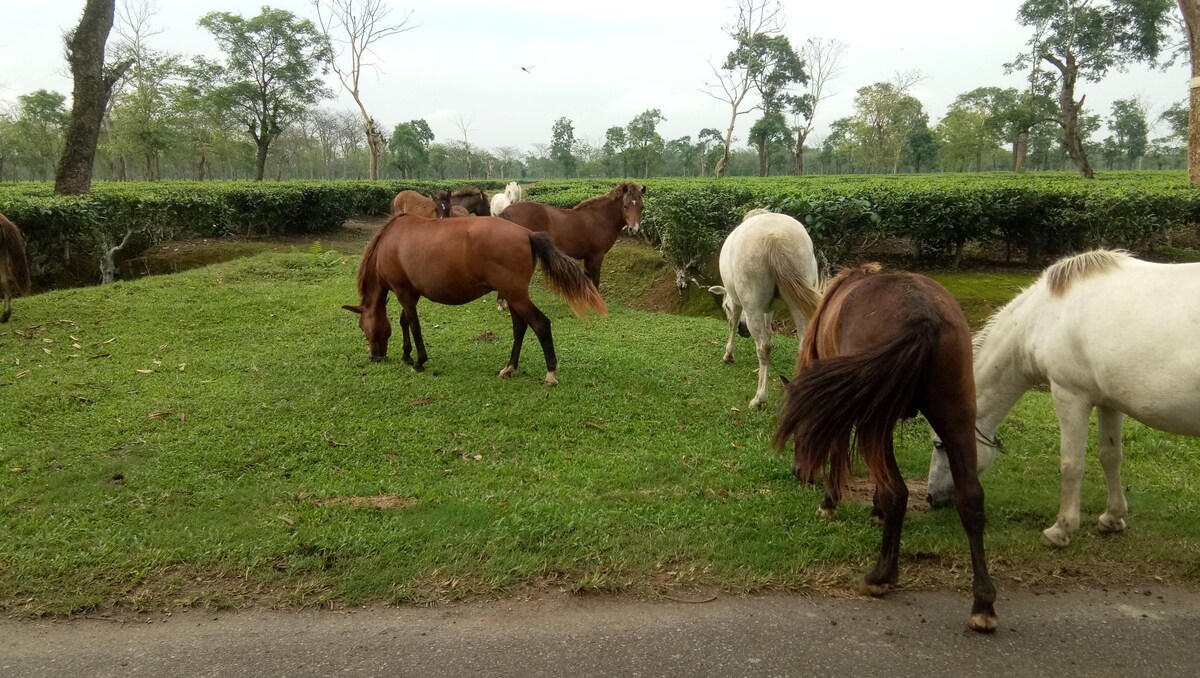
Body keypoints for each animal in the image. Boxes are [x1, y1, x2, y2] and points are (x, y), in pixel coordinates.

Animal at [345, 211, 609, 386]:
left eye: (362, 327)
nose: (375, 357)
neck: (389, 241)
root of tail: (527, 234)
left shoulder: (403, 292)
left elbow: (414, 325)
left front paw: (418, 361)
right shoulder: (412, 292)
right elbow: (404, 322)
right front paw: (406, 356)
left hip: (516, 295)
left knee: (540, 324)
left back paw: (550, 374)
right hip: (513, 296)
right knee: (520, 327)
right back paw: (509, 368)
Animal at [496, 181, 648, 284]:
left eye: (641, 206)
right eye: (625, 206)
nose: (633, 229)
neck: (600, 218)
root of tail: (506, 211)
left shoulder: (588, 257)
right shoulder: (597, 256)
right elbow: (595, 280)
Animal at [705, 206, 820, 408]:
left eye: (725, 306)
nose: (744, 331)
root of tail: (775, 236)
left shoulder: (738, 303)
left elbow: (732, 324)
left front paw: (728, 355)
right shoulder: (769, 309)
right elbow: (769, 329)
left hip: (753, 305)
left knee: (763, 347)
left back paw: (759, 398)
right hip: (797, 302)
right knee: (802, 342)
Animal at [772, 262, 998, 628]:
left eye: (797, 429)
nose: (799, 472)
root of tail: (923, 315)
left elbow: (839, 451)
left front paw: (830, 502)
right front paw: (875, 511)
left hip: (874, 423)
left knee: (898, 491)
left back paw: (881, 576)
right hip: (956, 417)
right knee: (971, 499)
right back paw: (983, 604)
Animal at [931, 250, 1200, 547]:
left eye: (939, 444)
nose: (931, 497)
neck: (1042, 315)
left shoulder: (1069, 395)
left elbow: (1071, 464)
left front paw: (1062, 529)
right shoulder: (1109, 403)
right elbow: (1110, 456)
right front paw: (1112, 517)